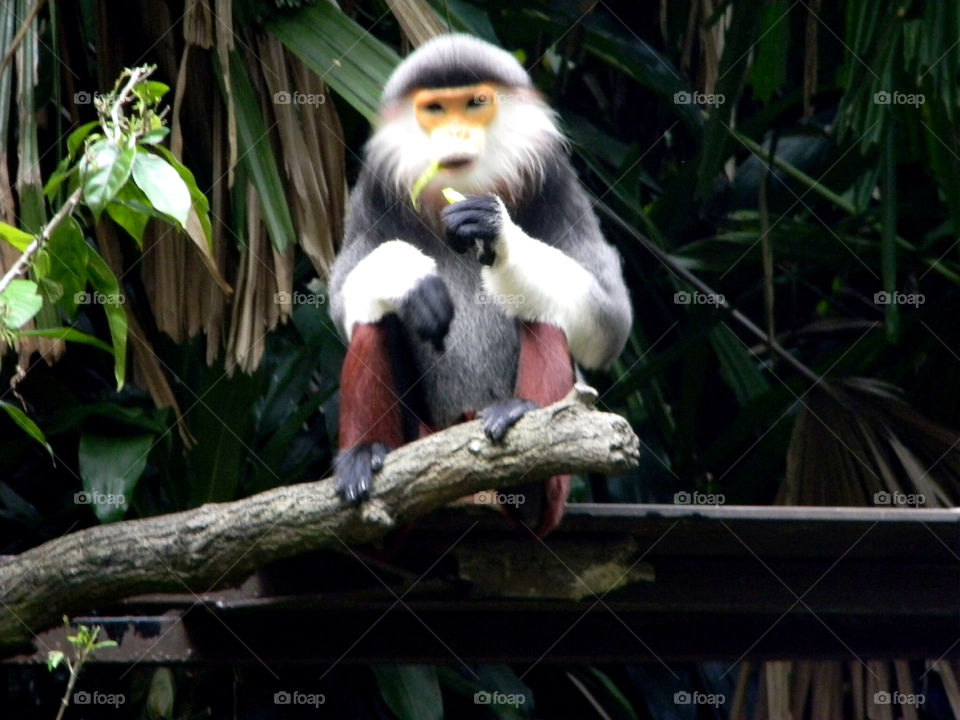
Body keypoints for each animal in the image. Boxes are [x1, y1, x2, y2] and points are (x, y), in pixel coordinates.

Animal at [328, 34, 632, 536]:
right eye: (435, 109)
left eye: (475, 104)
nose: (454, 134)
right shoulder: (373, 189)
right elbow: (340, 299)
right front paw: (414, 282)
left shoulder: (557, 181)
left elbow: (612, 318)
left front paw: (495, 229)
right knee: (374, 318)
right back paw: (363, 459)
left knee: (546, 315)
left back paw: (526, 452)